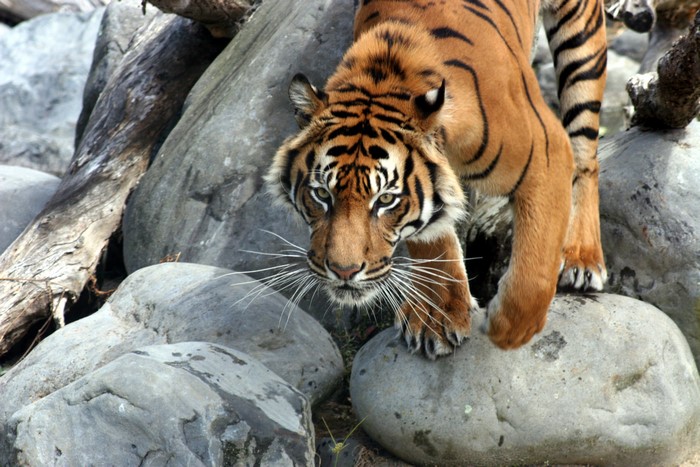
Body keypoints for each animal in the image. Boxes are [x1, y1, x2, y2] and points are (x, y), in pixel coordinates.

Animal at [266, 0, 608, 359]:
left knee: (587, 152)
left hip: (581, 45)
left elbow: (534, 269)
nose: (344, 272)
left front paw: (509, 330)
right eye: (321, 194)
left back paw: (582, 257)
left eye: (385, 199)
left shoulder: (546, 151)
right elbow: (433, 239)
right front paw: (437, 316)